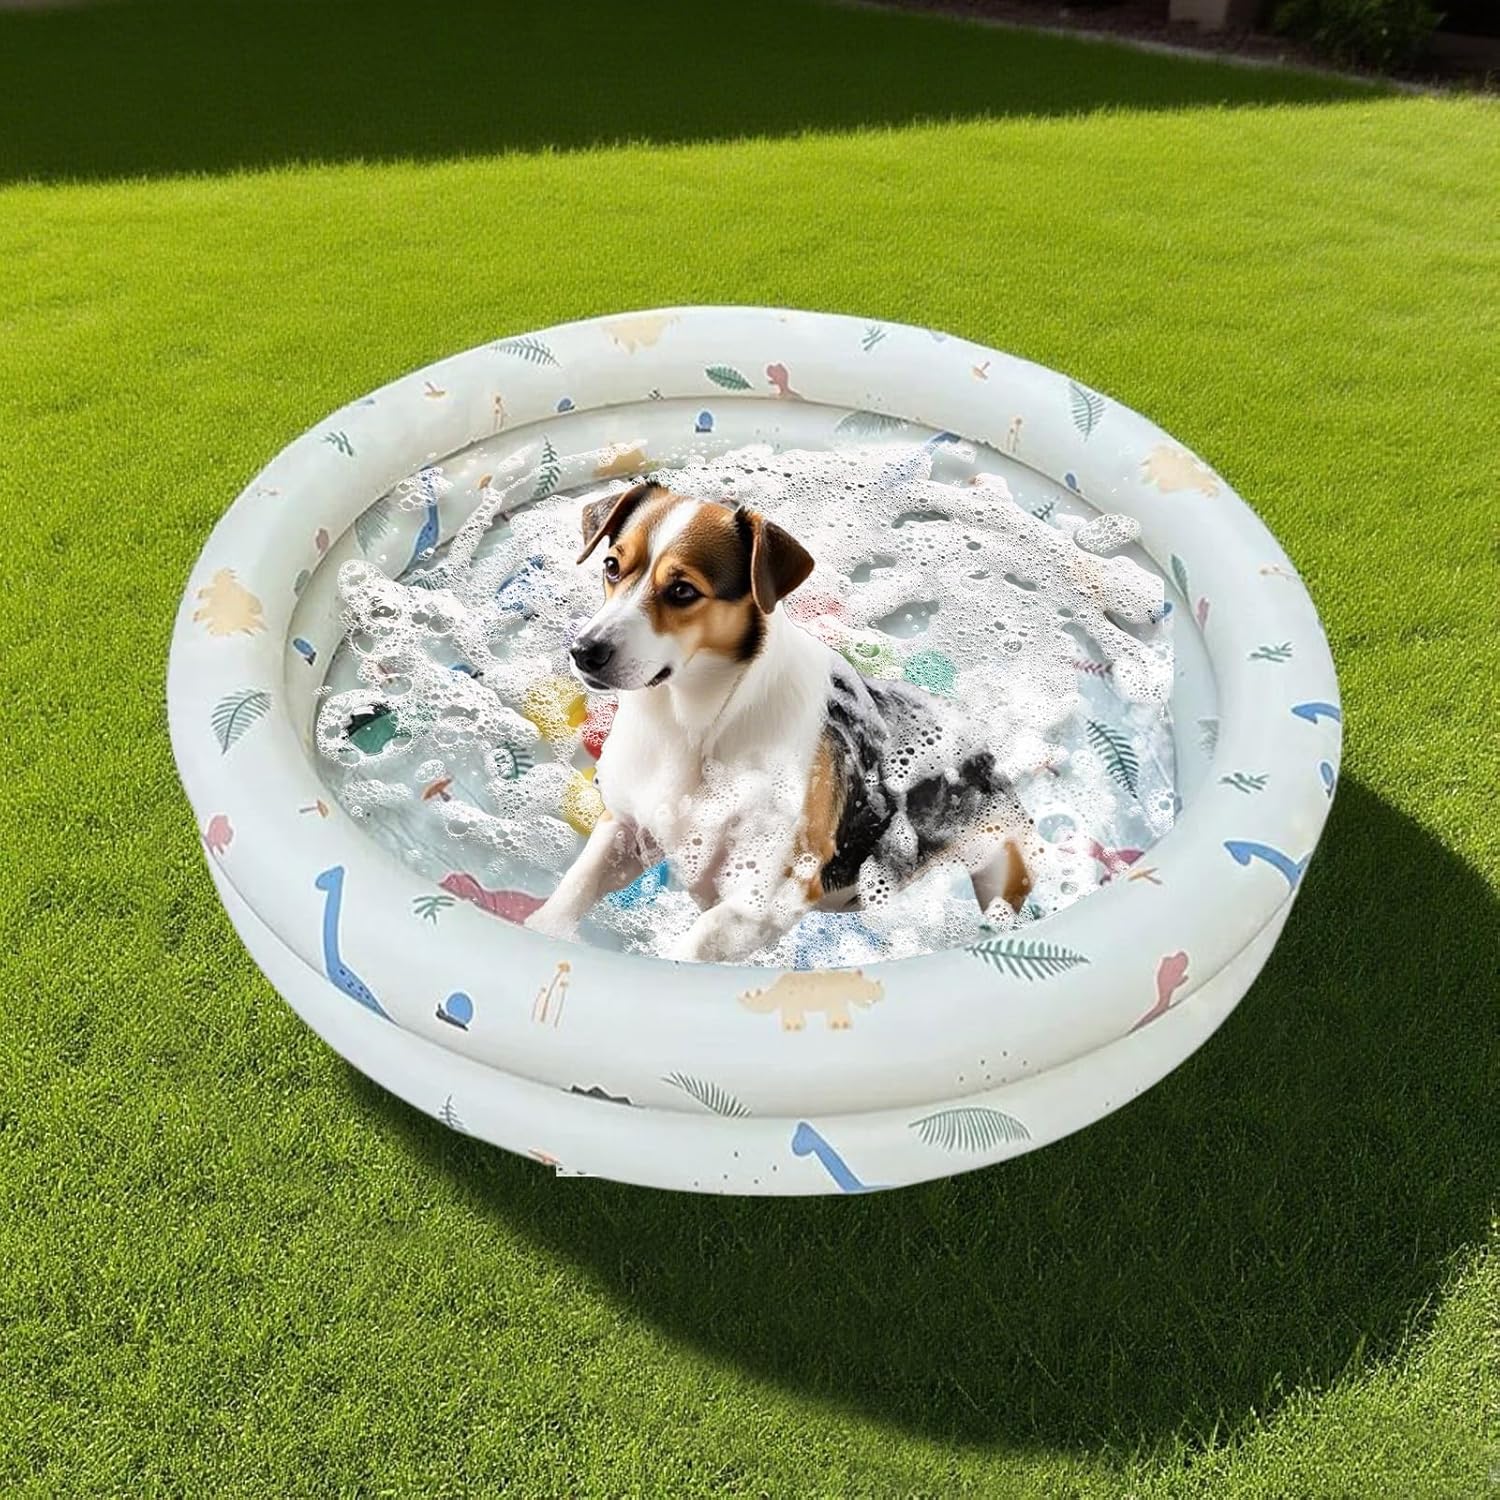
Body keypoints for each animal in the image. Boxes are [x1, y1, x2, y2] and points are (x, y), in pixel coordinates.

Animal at [525, 480, 1037, 963]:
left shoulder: (766, 897)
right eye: (612, 566)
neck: (695, 726)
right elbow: (576, 884)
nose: (585, 651)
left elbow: (695, 940)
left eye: (683, 590)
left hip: (1002, 862)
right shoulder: (626, 826)